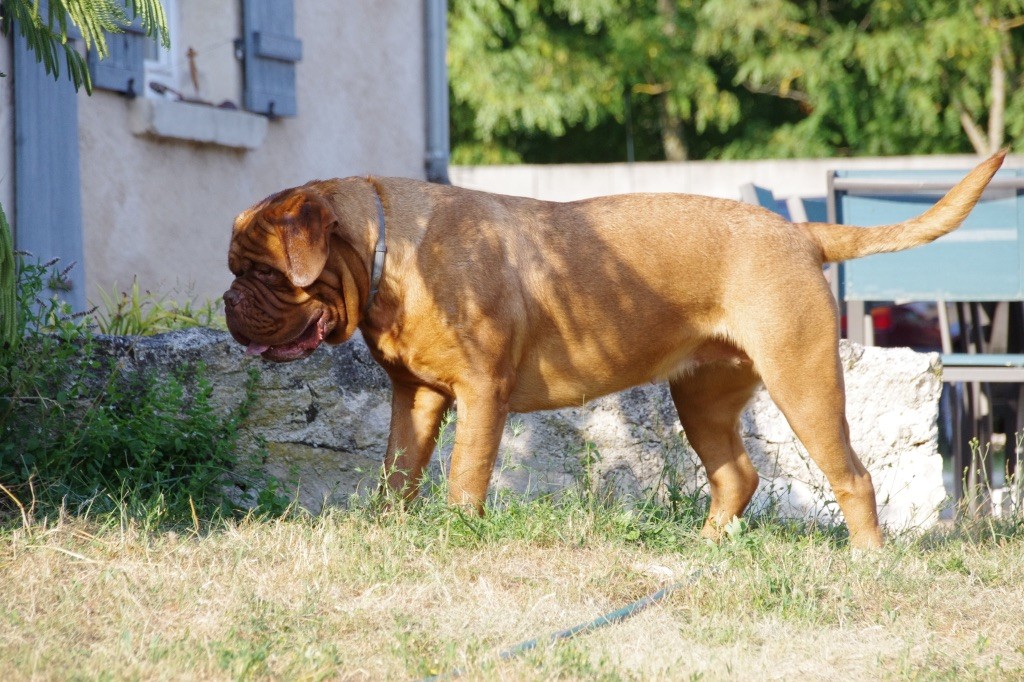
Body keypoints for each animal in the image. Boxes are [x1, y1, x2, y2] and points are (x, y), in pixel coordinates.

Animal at [228, 150, 1003, 548]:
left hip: (803, 381)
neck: (389, 254)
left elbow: (464, 475)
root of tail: (799, 231)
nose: (230, 303)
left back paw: (866, 560)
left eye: (264, 273)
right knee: (737, 475)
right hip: (702, 396)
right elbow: (397, 472)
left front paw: (460, 531)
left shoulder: (481, 394)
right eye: (239, 270)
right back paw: (706, 548)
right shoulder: (413, 398)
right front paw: (388, 530)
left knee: (853, 476)